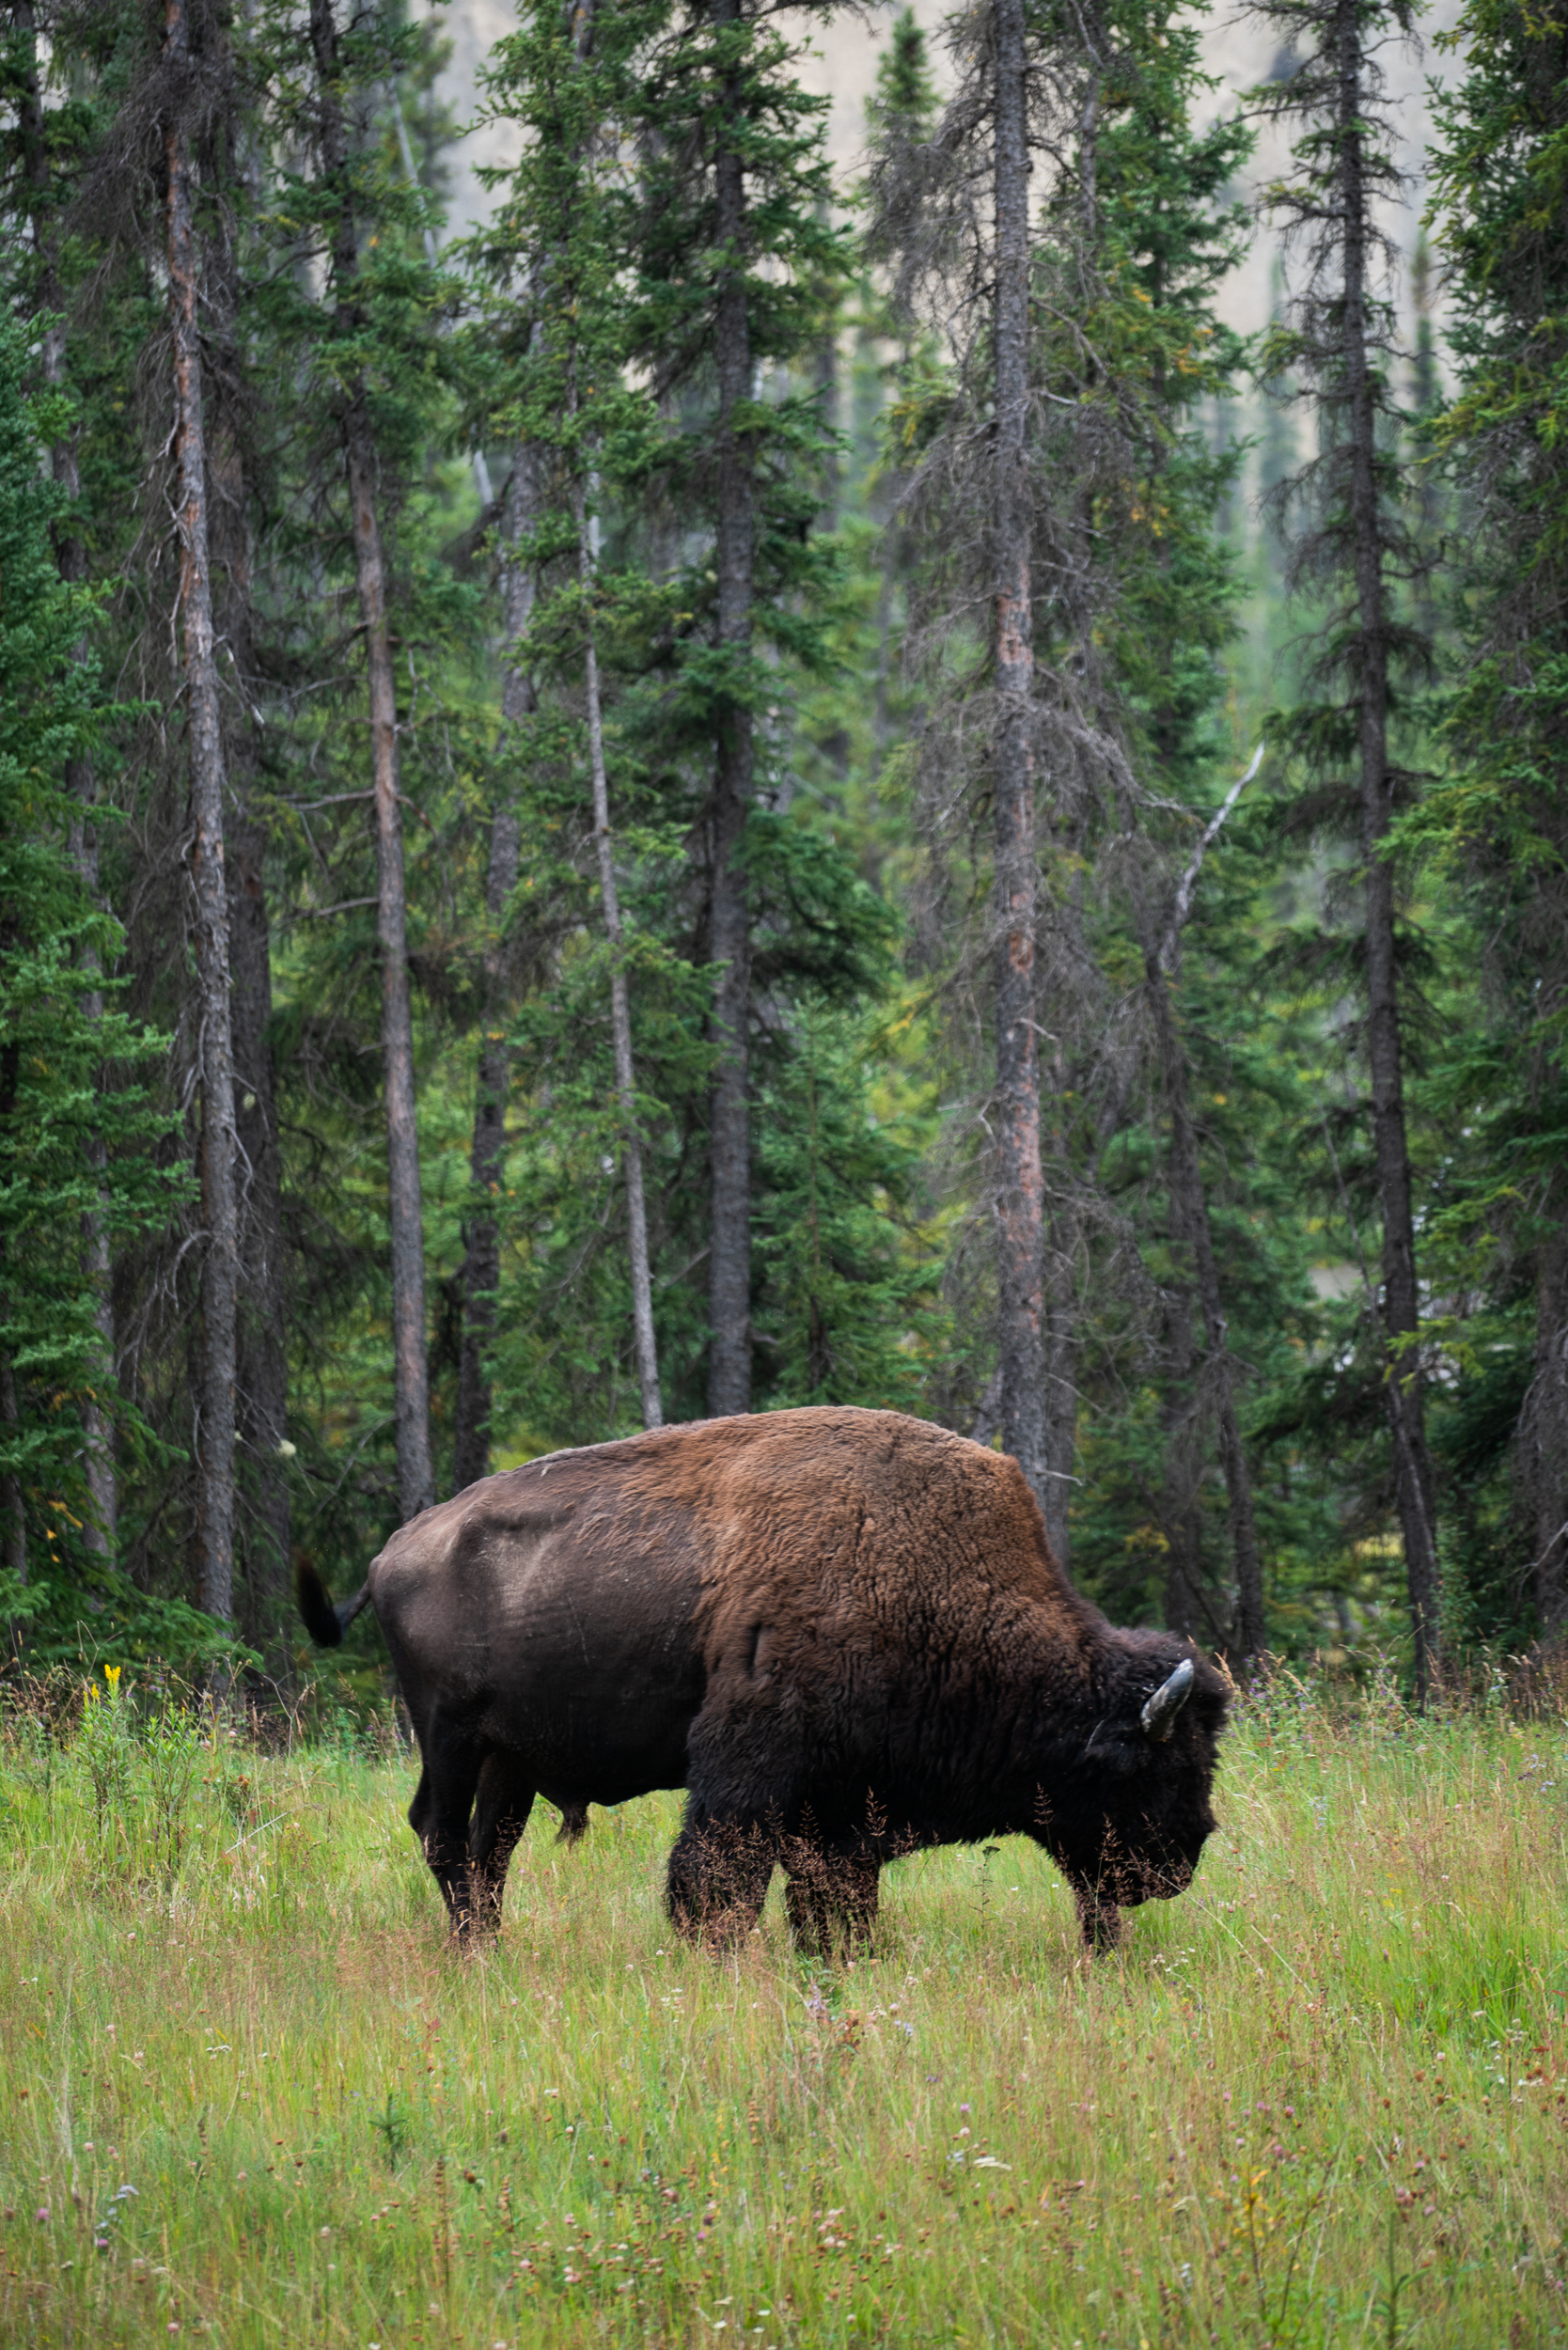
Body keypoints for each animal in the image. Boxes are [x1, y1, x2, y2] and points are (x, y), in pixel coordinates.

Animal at [293, 1401, 1222, 1955]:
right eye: (1158, 1767)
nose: (1186, 1856)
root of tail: (390, 1554)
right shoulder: (752, 1769)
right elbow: (719, 1879)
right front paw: (714, 1954)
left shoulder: (842, 1805)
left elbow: (836, 1898)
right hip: (449, 1736)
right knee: (443, 1837)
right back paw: (475, 1954)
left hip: (508, 1759)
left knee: (492, 1850)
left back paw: (492, 1946)